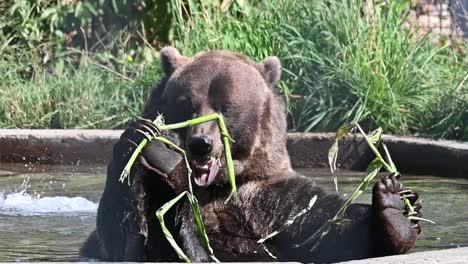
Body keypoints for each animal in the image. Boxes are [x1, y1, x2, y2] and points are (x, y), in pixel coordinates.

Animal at [79, 47, 420, 262]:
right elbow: (128, 235)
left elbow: (326, 227)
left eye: (226, 108)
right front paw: (154, 145)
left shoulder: (269, 203)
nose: (200, 144)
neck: (219, 187)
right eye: (187, 104)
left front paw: (395, 207)